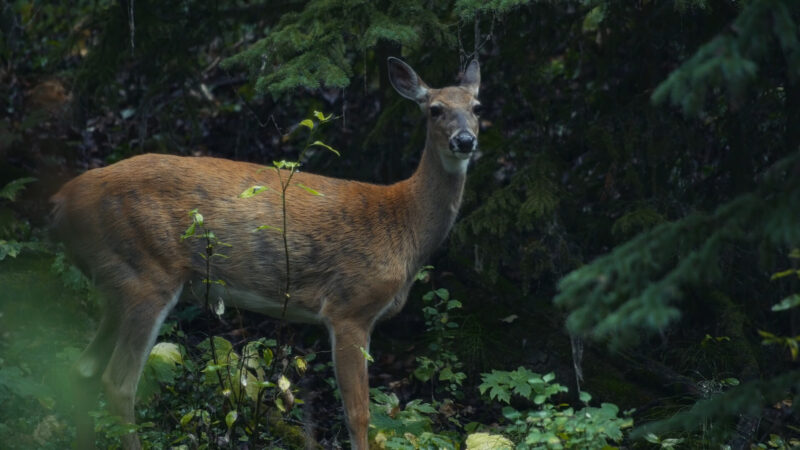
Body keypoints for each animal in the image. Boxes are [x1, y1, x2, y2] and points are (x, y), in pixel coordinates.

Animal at [51, 58, 482, 448]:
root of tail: (63, 201)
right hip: (147, 274)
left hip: (116, 283)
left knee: (80, 370)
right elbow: (358, 415)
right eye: (435, 109)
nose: (465, 140)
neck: (403, 223)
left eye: (477, 107)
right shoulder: (349, 307)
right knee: (118, 383)